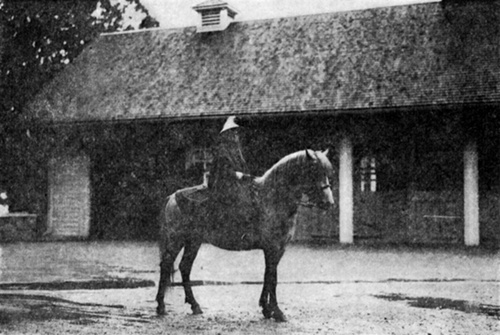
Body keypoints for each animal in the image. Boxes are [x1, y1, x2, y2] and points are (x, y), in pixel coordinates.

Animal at [155, 150, 336, 322]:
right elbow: (272, 277)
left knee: (185, 267)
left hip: (193, 241)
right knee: (166, 265)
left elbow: (268, 275)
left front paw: (266, 308)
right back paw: (161, 306)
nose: (329, 203)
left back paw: (194, 305)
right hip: (176, 239)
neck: (273, 199)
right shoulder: (273, 247)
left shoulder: (279, 248)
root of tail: (172, 197)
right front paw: (277, 312)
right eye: (314, 171)